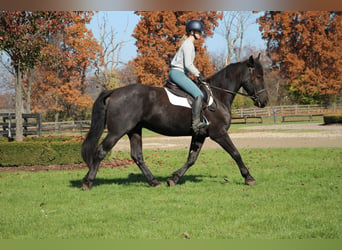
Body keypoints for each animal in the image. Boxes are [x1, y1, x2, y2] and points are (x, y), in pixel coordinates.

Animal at [81, 55, 268, 189]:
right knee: (101, 151)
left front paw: (174, 178)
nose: (264, 101)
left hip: (134, 130)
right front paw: (249, 177)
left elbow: (191, 158)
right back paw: (88, 182)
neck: (218, 96)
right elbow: (235, 153)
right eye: (258, 76)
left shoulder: (200, 135)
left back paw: (153, 182)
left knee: (137, 156)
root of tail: (115, 91)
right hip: (117, 131)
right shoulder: (219, 133)